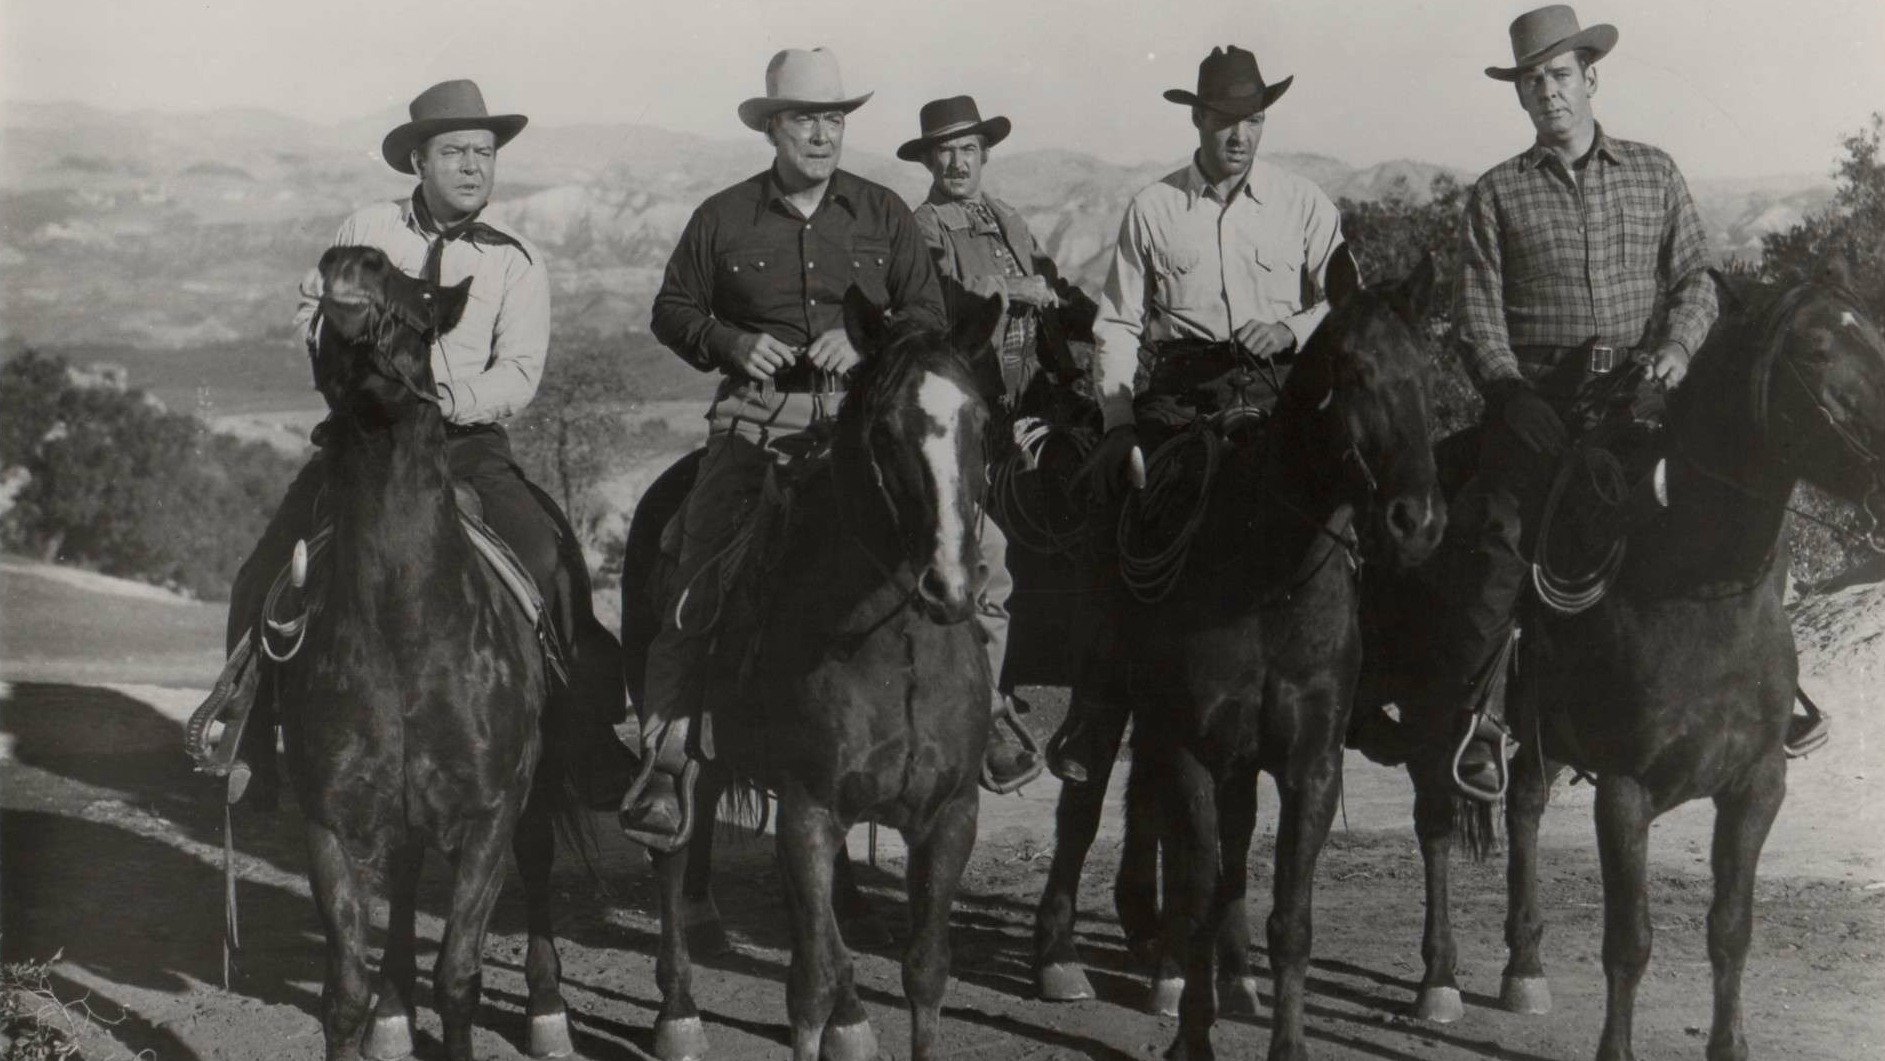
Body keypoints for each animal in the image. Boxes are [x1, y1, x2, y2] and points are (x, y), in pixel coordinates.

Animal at [280, 245, 587, 1061]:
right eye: (319, 296)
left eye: (420, 301)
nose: (352, 262)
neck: (405, 632)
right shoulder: (328, 821)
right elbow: (344, 990)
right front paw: (376, 1010)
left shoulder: (487, 819)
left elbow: (458, 977)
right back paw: (395, 1012)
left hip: (537, 787)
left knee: (538, 864)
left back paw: (548, 1010)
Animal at [1031, 251, 1448, 1061]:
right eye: (1353, 369)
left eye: (1429, 367)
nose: (1416, 522)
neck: (1265, 575)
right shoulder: (1192, 747)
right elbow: (1194, 888)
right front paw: (1191, 1034)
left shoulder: (1309, 763)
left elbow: (1290, 916)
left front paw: (1282, 1036)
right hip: (1115, 703)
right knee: (1085, 805)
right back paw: (1065, 958)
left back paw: (1227, 972)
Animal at [1371, 263, 1885, 1061]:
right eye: (1816, 350)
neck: (1695, 590)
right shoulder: (1624, 790)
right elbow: (1628, 941)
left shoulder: (1757, 786)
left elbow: (1730, 932)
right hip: (1432, 710)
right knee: (1434, 824)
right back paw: (1440, 980)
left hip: (1539, 738)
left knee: (1523, 808)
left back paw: (1525, 968)